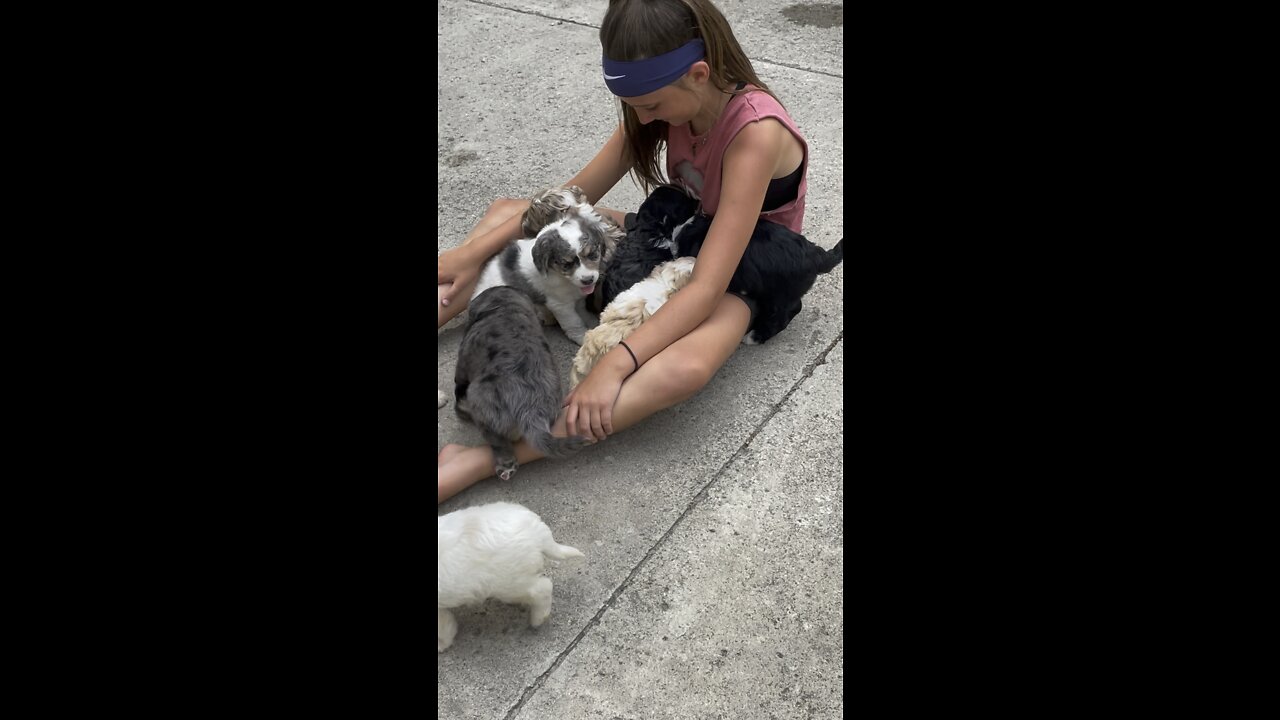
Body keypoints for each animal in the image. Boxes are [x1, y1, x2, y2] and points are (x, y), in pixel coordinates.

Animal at [453, 283, 586, 479]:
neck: (504, 307)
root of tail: (530, 411)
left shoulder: (463, 364)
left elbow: (459, 386)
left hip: (482, 405)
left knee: (497, 441)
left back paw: (505, 463)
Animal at [473, 210, 611, 345]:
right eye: (566, 264)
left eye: (592, 254)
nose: (588, 280)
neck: (564, 279)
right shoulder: (559, 305)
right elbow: (574, 322)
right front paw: (583, 338)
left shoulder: (577, 298)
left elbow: (583, 312)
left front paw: (593, 322)